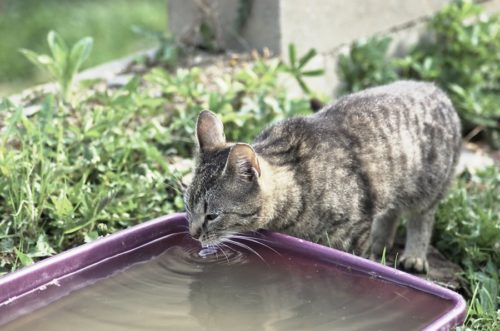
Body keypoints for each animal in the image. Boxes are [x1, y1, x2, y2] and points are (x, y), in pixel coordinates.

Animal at [184, 81, 460, 274]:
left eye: (212, 215)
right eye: (187, 207)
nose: (193, 234)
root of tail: (437, 90)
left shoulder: (356, 228)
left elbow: (353, 257)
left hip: (428, 187)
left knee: (421, 218)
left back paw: (414, 255)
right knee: (391, 212)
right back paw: (381, 241)